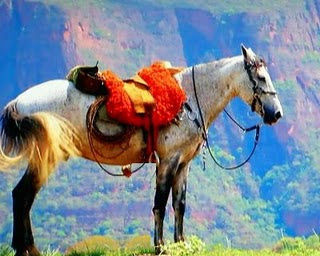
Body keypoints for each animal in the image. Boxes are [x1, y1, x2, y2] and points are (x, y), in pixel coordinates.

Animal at [0, 45, 282, 255]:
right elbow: (160, 203)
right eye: (261, 77)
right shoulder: (167, 161)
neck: (189, 98)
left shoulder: (183, 163)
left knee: (21, 196)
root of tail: (19, 102)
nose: (276, 113)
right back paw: (28, 249)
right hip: (44, 157)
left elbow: (180, 204)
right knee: (23, 196)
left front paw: (181, 244)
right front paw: (160, 247)